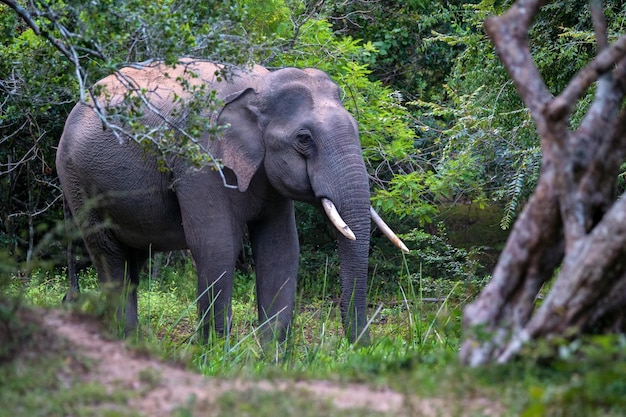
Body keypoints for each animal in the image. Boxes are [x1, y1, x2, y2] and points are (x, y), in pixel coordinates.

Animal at [56, 58, 408, 344]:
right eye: (304, 139)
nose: (362, 347)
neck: (261, 86)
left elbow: (280, 248)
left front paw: (272, 357)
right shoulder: (199, 160)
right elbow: (216, 244)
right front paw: (214, 354)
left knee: (133, 261)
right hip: (76, 180)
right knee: (109, 255)